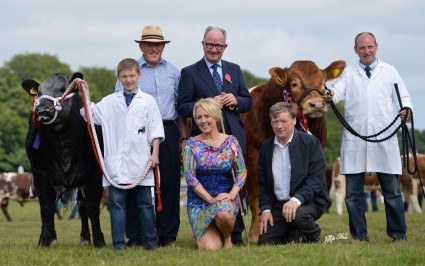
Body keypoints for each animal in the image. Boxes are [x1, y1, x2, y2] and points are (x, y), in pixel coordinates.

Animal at [21, 73, 105, 247]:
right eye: (39, 92)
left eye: (62, 89)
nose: (42, 109)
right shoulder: (39, 172)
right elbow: (47, 208)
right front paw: (47, 240)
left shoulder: (95, 172)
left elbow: (92, 207)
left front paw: (99, 240)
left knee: (82, 207)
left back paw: (85, 238)